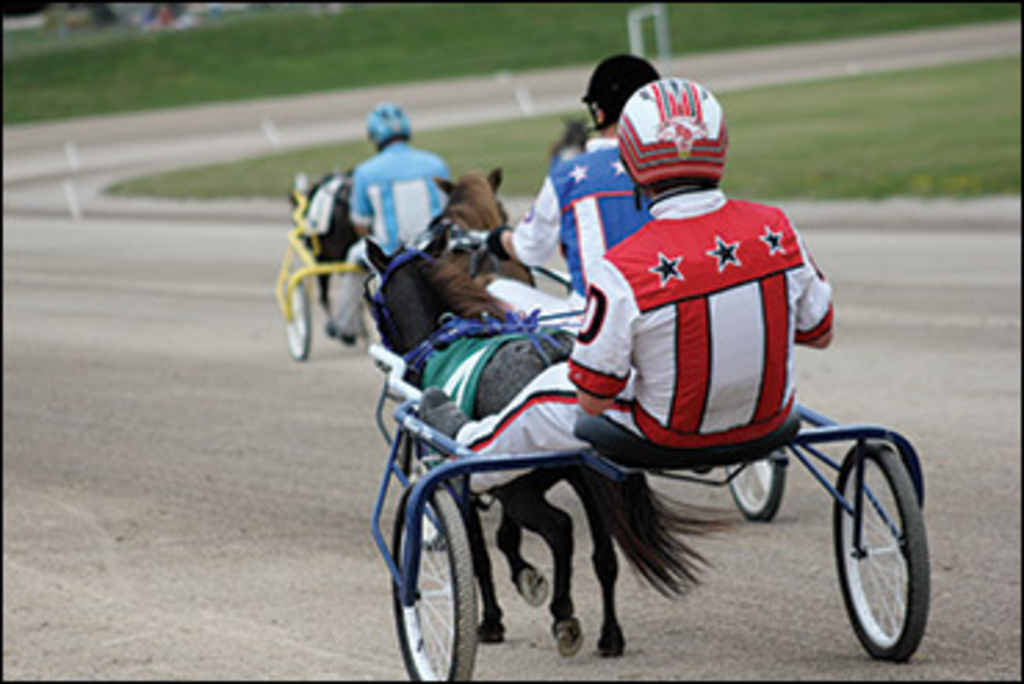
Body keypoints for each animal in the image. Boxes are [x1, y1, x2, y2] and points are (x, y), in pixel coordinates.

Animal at [364, 233, 724, 655]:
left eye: (372, 295)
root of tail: (550, 356)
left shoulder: (470, 482)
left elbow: (481, 552)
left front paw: (492, 620)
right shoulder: (504, 481)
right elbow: (506, 538)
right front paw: (527, 578)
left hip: (524, 486)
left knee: (560, 529)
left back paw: (563, 614)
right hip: (585, 479)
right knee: (604, 555)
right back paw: (610, 634)